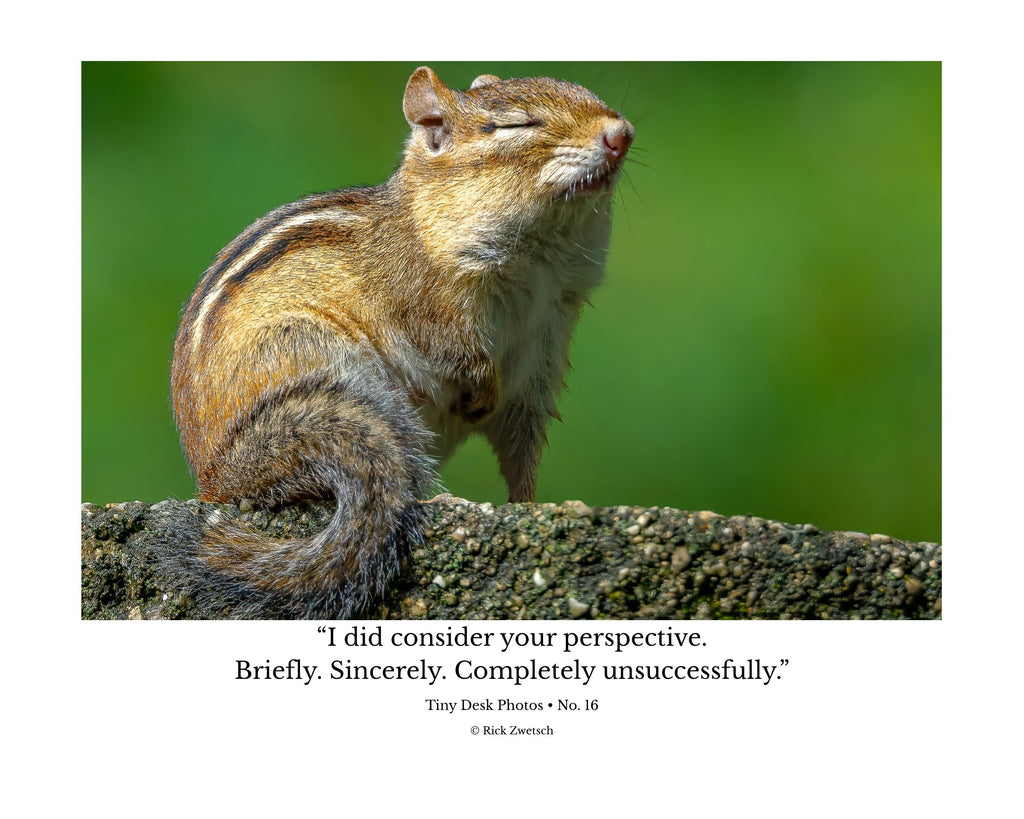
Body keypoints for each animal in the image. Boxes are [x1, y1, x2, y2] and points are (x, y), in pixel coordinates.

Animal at [161, 66, 634, 619]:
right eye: (518, 125)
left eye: (590, 96)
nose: (621, 134)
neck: (542, 260)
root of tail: (217, 477)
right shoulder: (429, 307)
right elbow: (462, 358)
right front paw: (479, 398)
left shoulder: (541, 357)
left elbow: (522, 450)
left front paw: (534, 507)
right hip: (318, 360)